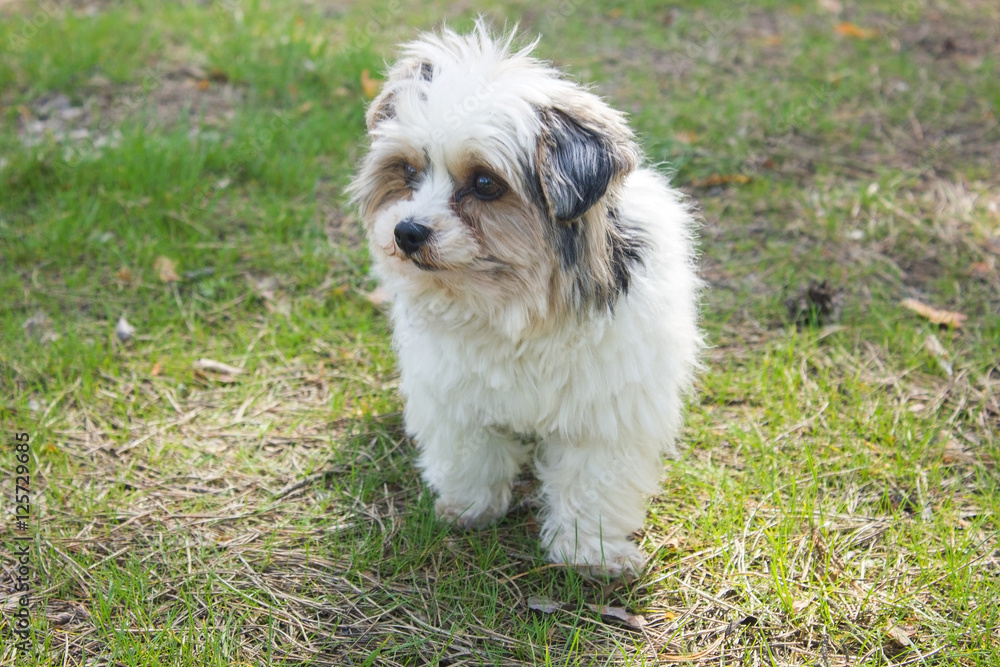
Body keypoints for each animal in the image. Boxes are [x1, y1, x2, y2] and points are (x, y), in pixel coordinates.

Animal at [352, 19, 704, 576]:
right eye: (407, 172)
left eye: (484, 183)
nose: (407, 231)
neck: (521, 306)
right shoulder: (456, 394)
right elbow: (471, 452)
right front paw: (469, 507)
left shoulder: (607, 412)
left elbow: (592, 480)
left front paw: (588, 551)